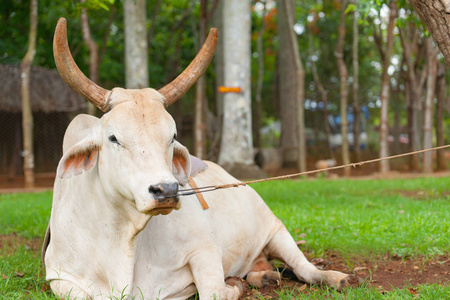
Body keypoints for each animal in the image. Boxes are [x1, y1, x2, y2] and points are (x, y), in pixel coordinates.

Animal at [42, 17, 350, 298]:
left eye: (173, 136)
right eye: (113, 137)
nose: (166, 190)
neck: (124, 238)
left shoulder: (204, 249)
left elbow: (215, 291)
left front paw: (233, 285)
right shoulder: (59, 277)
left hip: (275, 229)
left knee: (304, 268)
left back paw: (333, 277)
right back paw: (262, 275)